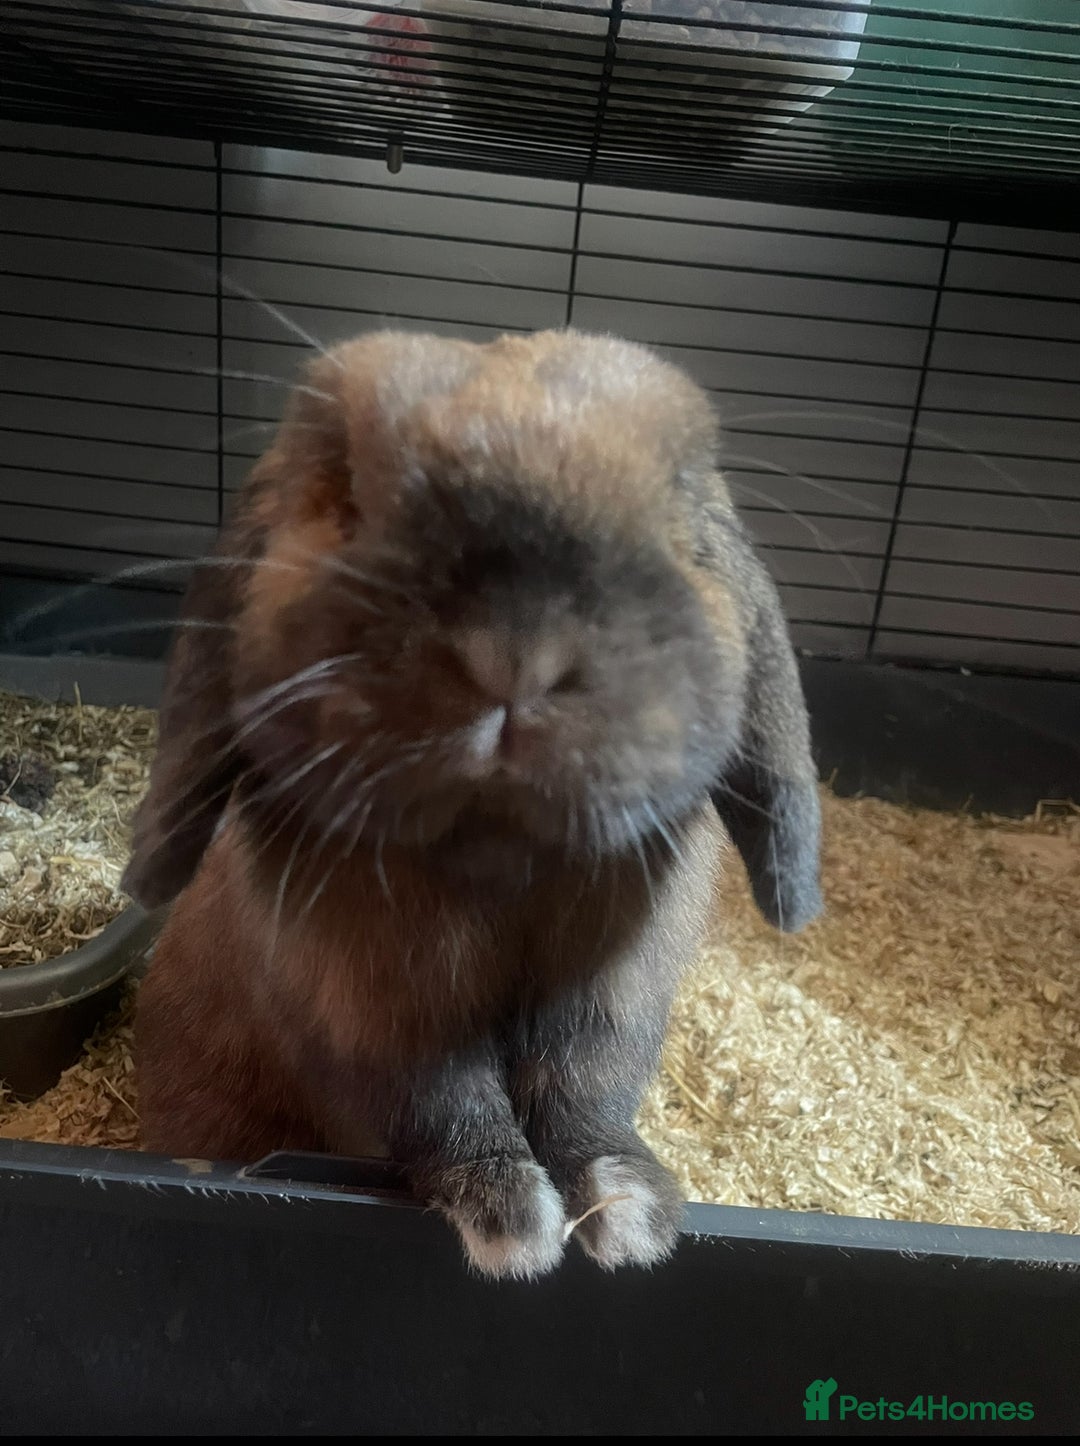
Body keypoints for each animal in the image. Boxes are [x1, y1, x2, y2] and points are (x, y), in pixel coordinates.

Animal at [125, 328, 821, 1279]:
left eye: (676, 502)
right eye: (344, 489)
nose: (514, 648)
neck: (498, 856)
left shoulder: (609, 999)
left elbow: (585, 1094)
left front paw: (626, 1209)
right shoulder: (376, 1010)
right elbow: (444, 1105)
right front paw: (512, 1223)